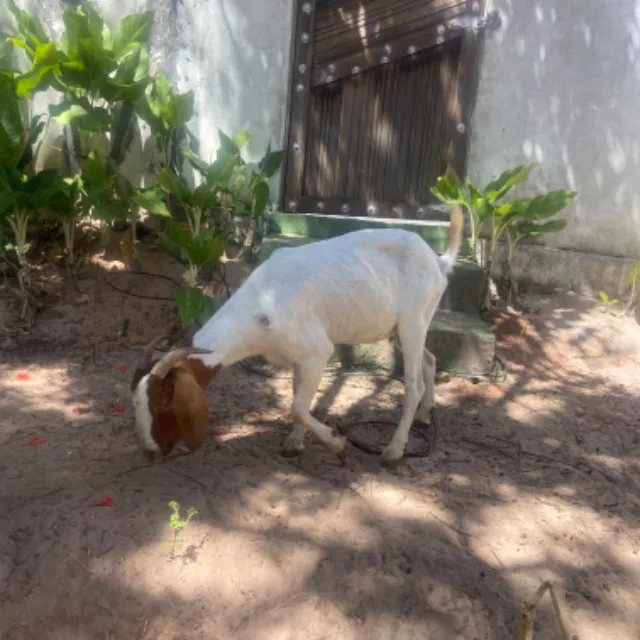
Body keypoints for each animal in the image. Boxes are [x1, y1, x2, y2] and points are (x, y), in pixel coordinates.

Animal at [131, 204, 464, 464]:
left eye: (162, 406)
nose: (149, 452)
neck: (263, 301)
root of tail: (437, 261)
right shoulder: (295, 357)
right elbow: (296, 399)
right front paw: (295, 442)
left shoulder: (317, 352)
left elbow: (299, 407)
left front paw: (337, 444)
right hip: (404, 325)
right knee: (430, 360)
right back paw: (425, 415)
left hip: (412, 322)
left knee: (413, 385)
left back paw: (395, 450)